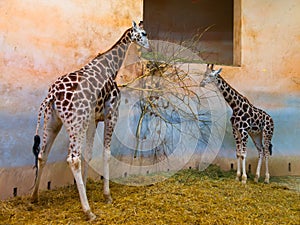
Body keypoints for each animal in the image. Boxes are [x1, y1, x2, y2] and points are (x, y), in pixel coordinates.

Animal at [31, 21, 151, 220]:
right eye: (144, 33)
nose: (149, 47)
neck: (111, 67)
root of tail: (52, 95)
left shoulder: (93, 119)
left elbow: (88, 153)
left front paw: (85, 188)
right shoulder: (112, 113)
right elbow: (106, 153)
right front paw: (107, 195)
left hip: (53, 121)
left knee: (42, 154)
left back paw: (34, 198)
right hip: (76, 122)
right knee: (73, 159)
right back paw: (88, 212)